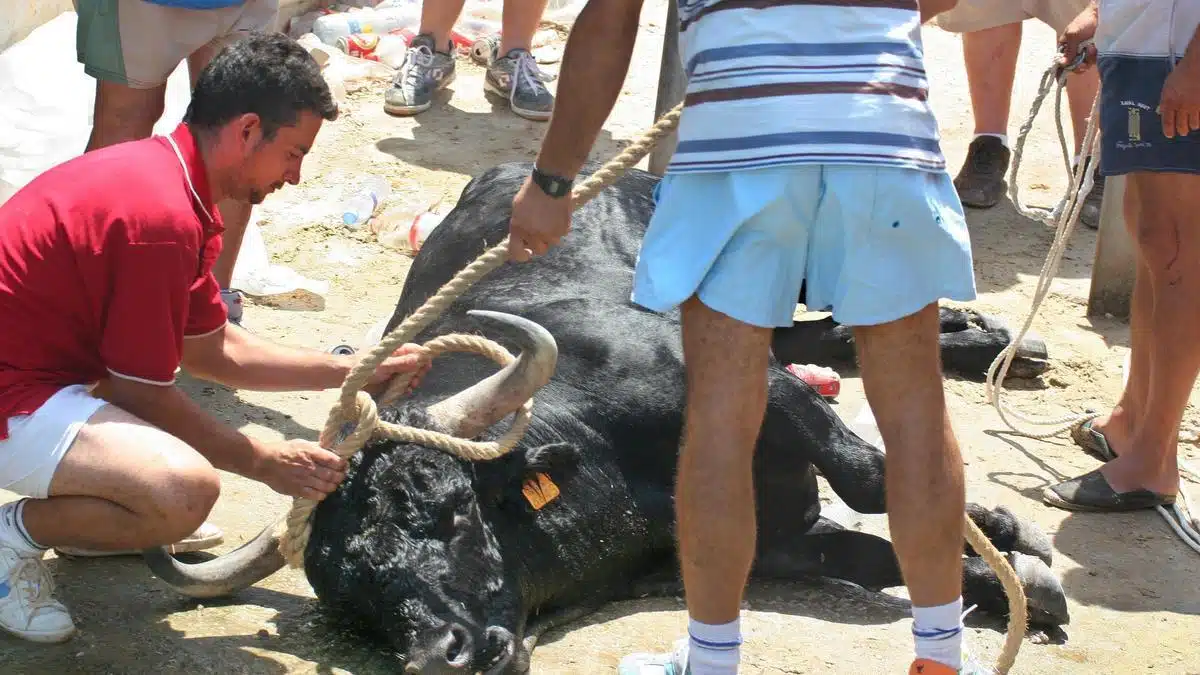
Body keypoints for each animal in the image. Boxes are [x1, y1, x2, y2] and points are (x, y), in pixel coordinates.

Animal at [142, 159, 1070, 667]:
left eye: (449, 510)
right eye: (353, 594)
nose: (437, 655)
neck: (614, 471)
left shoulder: (757, 390)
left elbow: (872, 478)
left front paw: (1003, 533)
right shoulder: (780, 542)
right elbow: (873, 554)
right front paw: (1013, 577)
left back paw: (995, 339)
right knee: (821, 329)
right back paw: (996, 344)